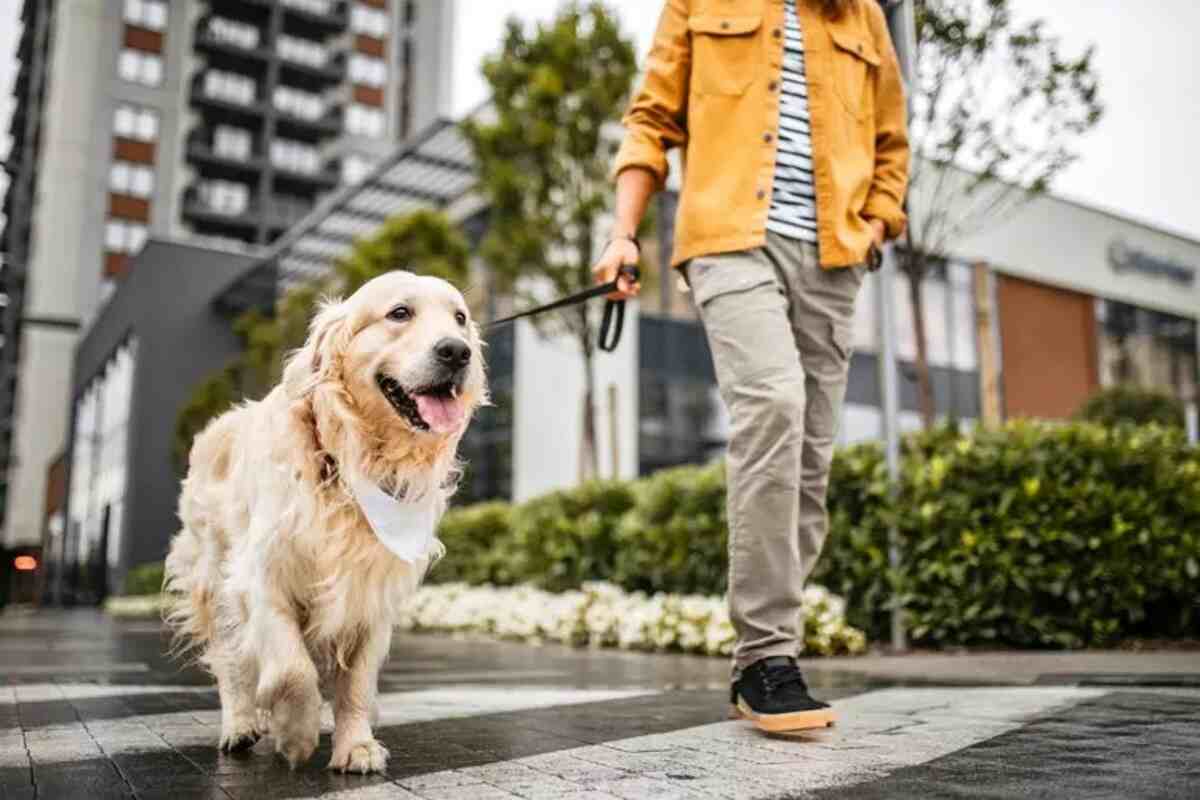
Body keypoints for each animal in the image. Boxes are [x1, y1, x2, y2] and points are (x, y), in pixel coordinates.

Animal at [162, 272, 484, 772]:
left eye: (460, 318)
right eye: (400, 313)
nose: (457, 351)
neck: (350, 460)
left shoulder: (371, 590)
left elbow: (355, 683)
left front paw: (356, 745)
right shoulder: (261, 574)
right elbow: (292, 666)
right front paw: (295, 730)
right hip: (213, 578)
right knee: (231, 660)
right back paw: (240, 723)